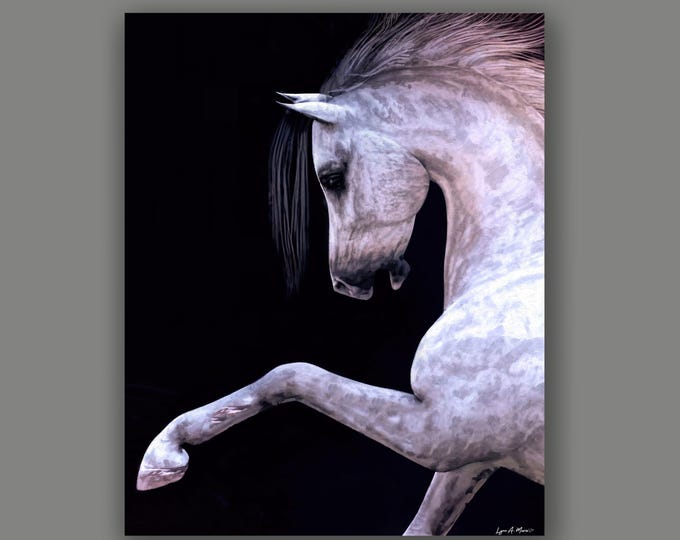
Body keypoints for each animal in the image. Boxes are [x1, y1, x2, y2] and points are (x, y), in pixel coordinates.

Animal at [137, 14, 544, 535]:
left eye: (331, 178)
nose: (343, 283)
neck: (519, 258)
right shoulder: (468, 460)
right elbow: (420, 526)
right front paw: (163, 456)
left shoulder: (439, 432)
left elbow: (291, 373)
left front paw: (165, 451)